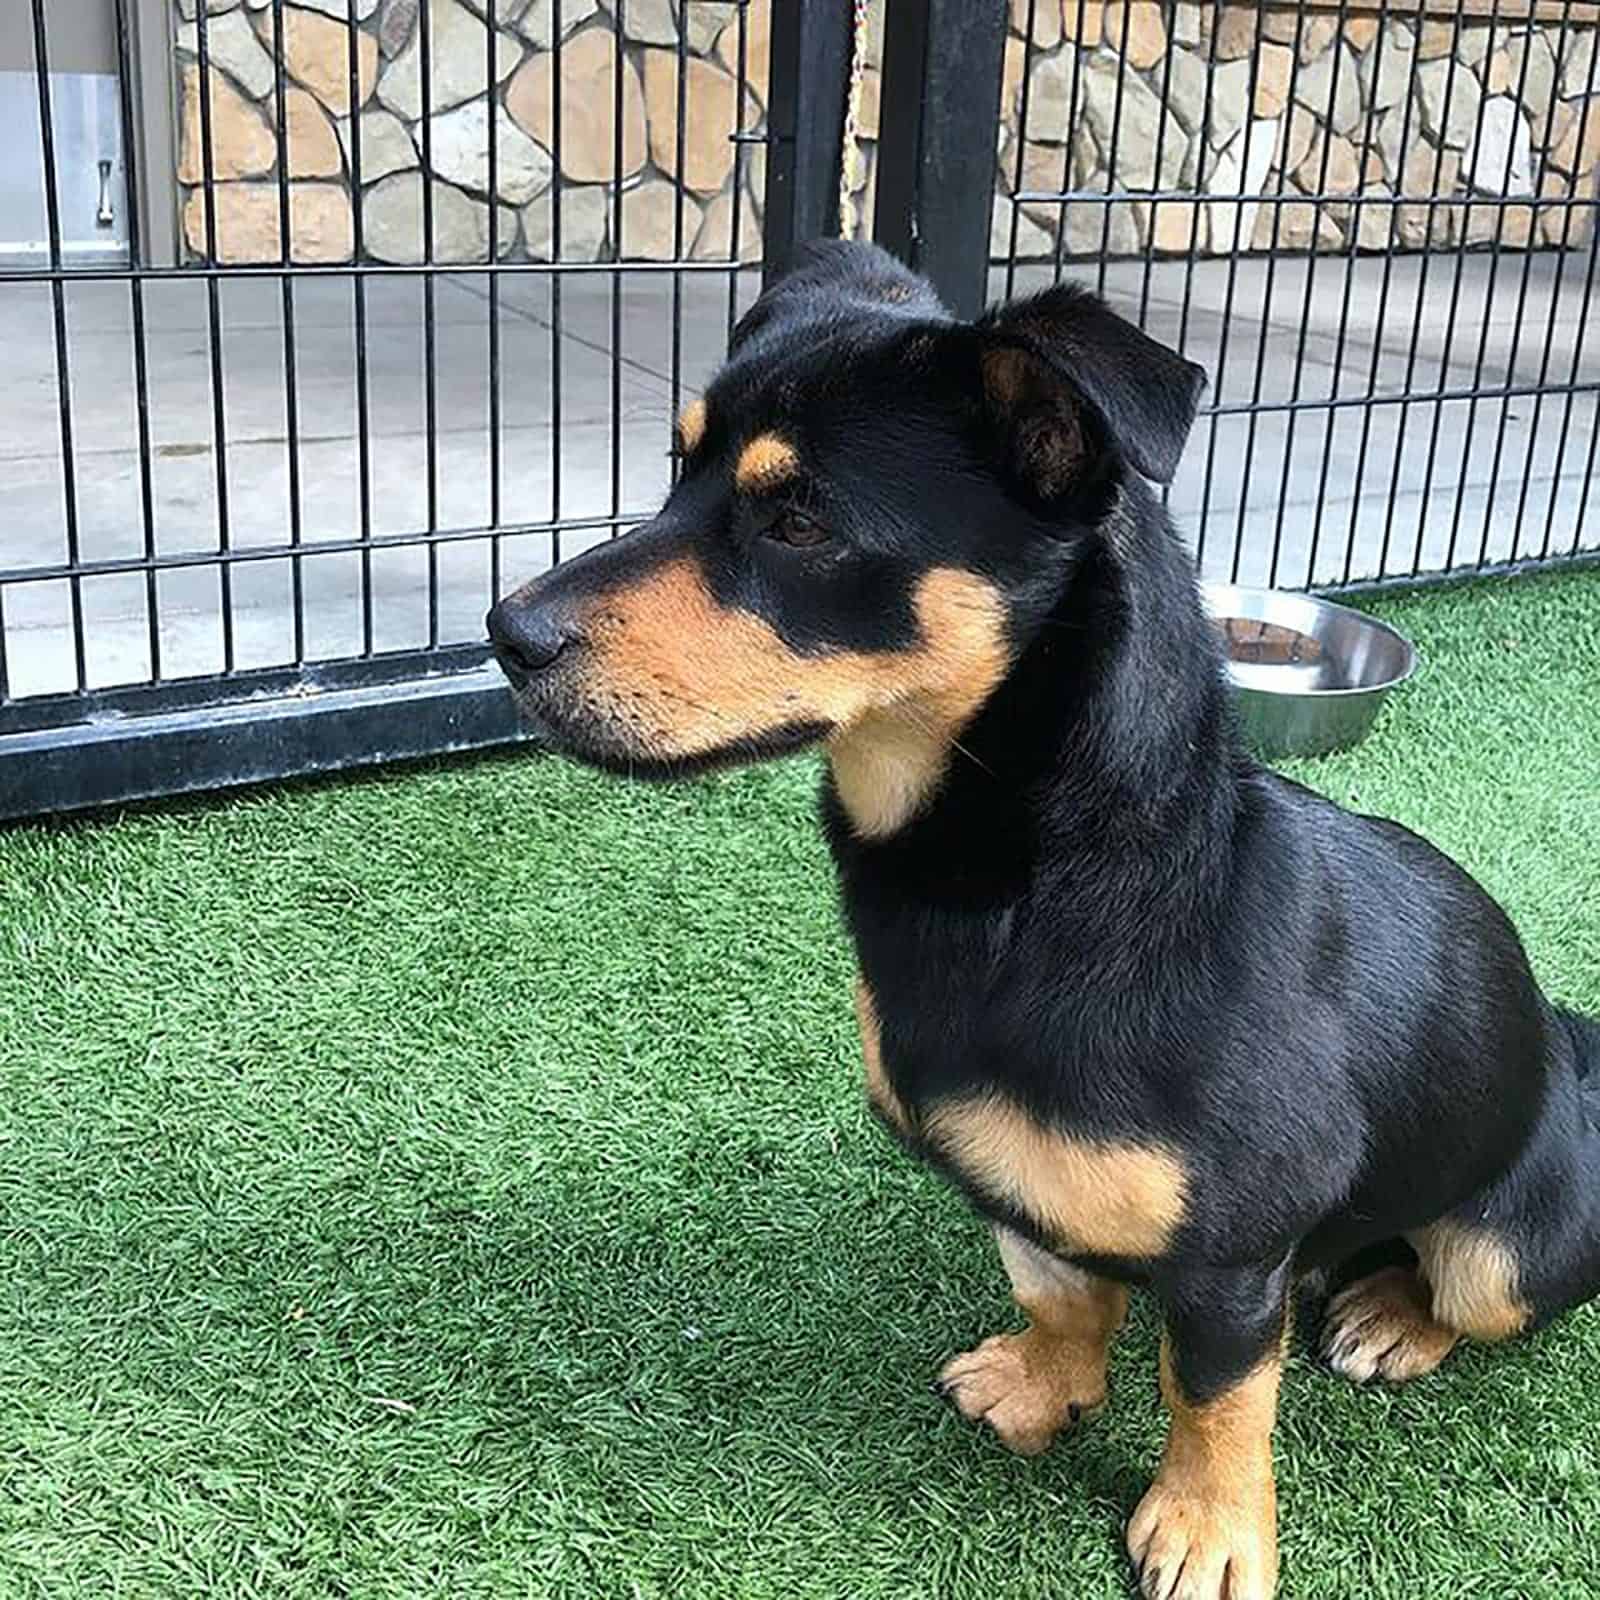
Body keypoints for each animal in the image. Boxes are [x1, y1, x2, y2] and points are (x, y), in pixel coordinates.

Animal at [483, 236, 1600, 1600]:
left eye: (799, 521)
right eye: (673, 471)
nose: (504, 631)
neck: (1042, 889)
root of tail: (1568, 1043)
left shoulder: (1237, 1259)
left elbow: (1215, 1394)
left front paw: (1208, 1528)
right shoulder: (1018, 1184)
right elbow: (1061, 1288)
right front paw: (1045, 1385)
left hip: (1509, 1247)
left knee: (1465, 1285)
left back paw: (1394, 1317)